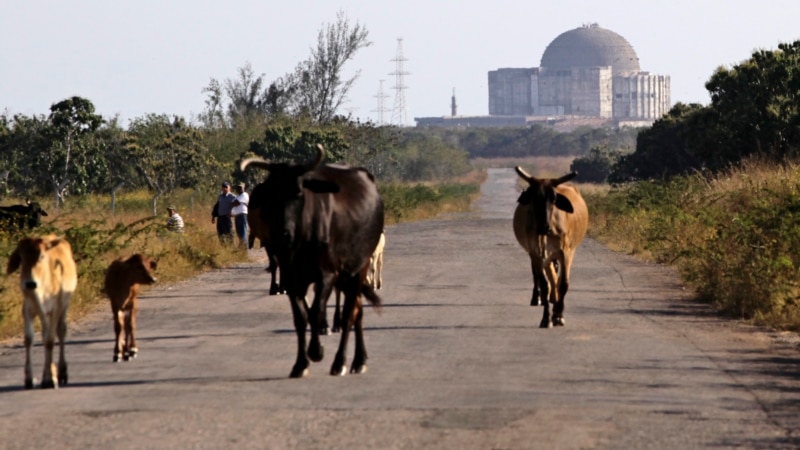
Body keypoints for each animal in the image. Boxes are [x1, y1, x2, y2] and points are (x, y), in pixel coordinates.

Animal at [6, 236, 76, 386]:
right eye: (21, 258)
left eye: (42, 256)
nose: (30, 283)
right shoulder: (27, 310)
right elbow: (29, 339)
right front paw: (29, 378)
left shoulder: (55, 309)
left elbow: (49, 340)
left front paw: (50, 379)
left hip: (65, 305)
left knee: (60, 331)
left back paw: (61, 372)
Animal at [241, 144, 384, 376]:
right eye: (270, 195)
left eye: (298, 193)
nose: (282, 233)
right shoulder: (292, 277)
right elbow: (301, 317)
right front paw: (300, 364)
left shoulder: (326, 275)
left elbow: (316, 311)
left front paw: (316, 350)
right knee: (358, 311)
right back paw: (358, 359)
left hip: (358, 269)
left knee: (350, 313)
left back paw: (341, 362)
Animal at [512, 167, 588, 328]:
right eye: (534, 198)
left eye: (553, 199)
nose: (543, 227)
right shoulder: (536, 254)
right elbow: (544, 284)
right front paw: (546, 318)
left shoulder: (565, 253)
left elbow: (564, 283)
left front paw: (558, 316)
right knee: (546, 278)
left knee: (557, 279)